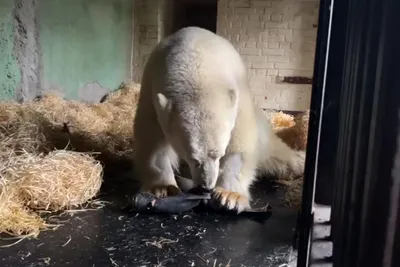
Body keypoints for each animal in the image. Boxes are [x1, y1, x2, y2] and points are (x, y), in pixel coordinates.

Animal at [133, 26, 304, 213]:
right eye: (192, 158)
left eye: (219, 155)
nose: (206, 187)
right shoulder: (152, 88)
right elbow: (151, 138)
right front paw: (162, 187)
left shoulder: (237, 96)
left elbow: (240, 143)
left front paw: (229, 196)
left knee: (275, 154)